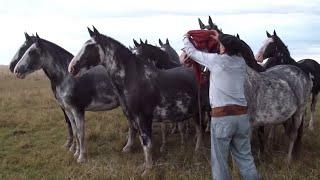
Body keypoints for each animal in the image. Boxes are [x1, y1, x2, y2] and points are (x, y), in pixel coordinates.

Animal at [10, 33, 120, 163]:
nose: (15, 70)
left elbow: (80, 133)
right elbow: (75, 130)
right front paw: (75, 152)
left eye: (30, 51)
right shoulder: (68, 110)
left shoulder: (78, 110)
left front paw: (81, 158)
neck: (68, 77)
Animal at [68, 26, 204, 176]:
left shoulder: (143, 117)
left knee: (200, 130)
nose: (71, 68)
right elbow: (143, 141)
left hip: (200, 111)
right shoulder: (136, 118)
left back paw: (198, 151)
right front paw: (145, 165)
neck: (135, 79)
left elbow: (147, 143)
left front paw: (148, 170)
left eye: (90, 46)